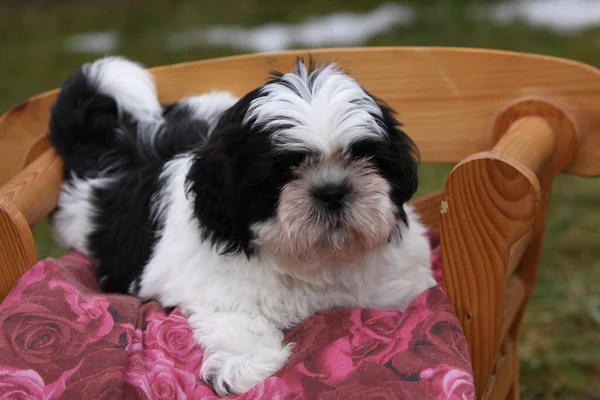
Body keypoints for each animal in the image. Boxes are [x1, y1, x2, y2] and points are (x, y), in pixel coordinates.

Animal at [49, 56, 436, 396]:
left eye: (365, 156)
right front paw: (244, 365)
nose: (332, 191)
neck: (316, 258)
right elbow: (240, 319)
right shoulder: (216, 288)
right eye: (282, 174)